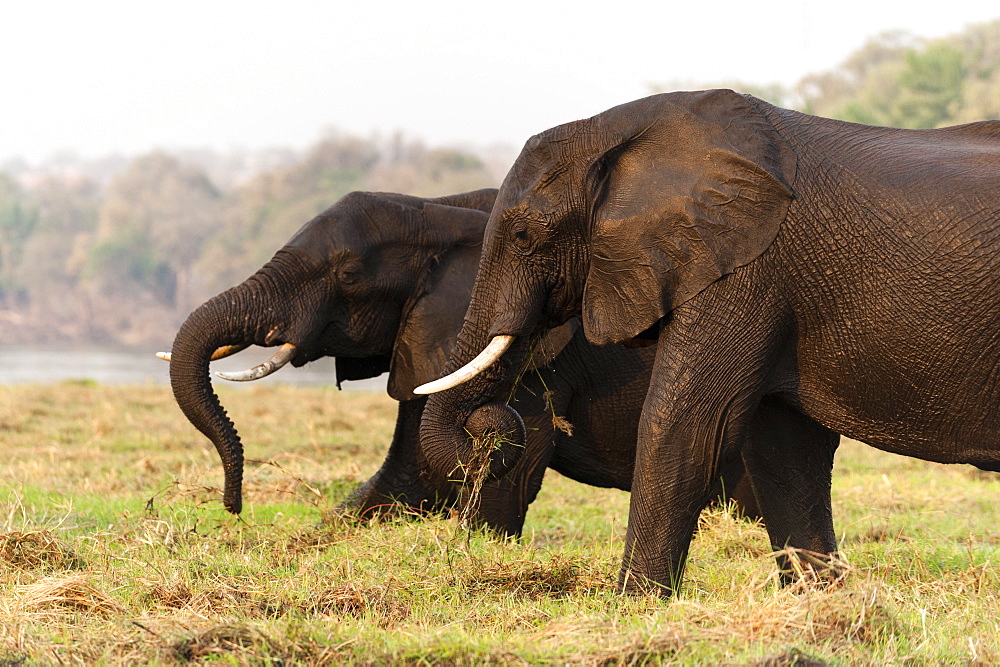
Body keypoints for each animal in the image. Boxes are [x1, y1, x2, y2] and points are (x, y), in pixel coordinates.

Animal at [164, 188, 756, 536]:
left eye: (348, 275)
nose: (232, 509)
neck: (437, 211)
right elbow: (409, 474)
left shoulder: (536, 356)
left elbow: (496, 476)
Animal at [418, 87, 1000, 596]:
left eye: (524, 237)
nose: (488, 427)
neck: (616, 134)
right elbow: (785, 448)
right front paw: (822, 601)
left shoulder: (746, 269)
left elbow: (686, 424)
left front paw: (635, 605)